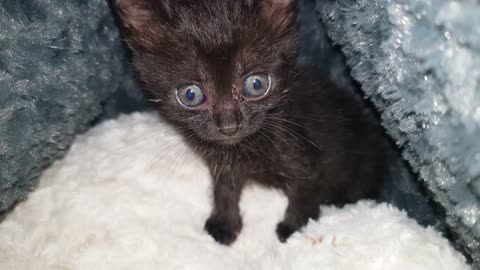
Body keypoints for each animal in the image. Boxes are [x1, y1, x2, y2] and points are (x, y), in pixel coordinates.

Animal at [114, 0, 388, 245]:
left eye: (256, 84)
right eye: (190, 95)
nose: (229, 126)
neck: (246, 147)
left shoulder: (305, 155)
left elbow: (305, 192)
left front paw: (294, 230)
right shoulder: (223, 163)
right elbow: (224, 189)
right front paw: (224, 224)